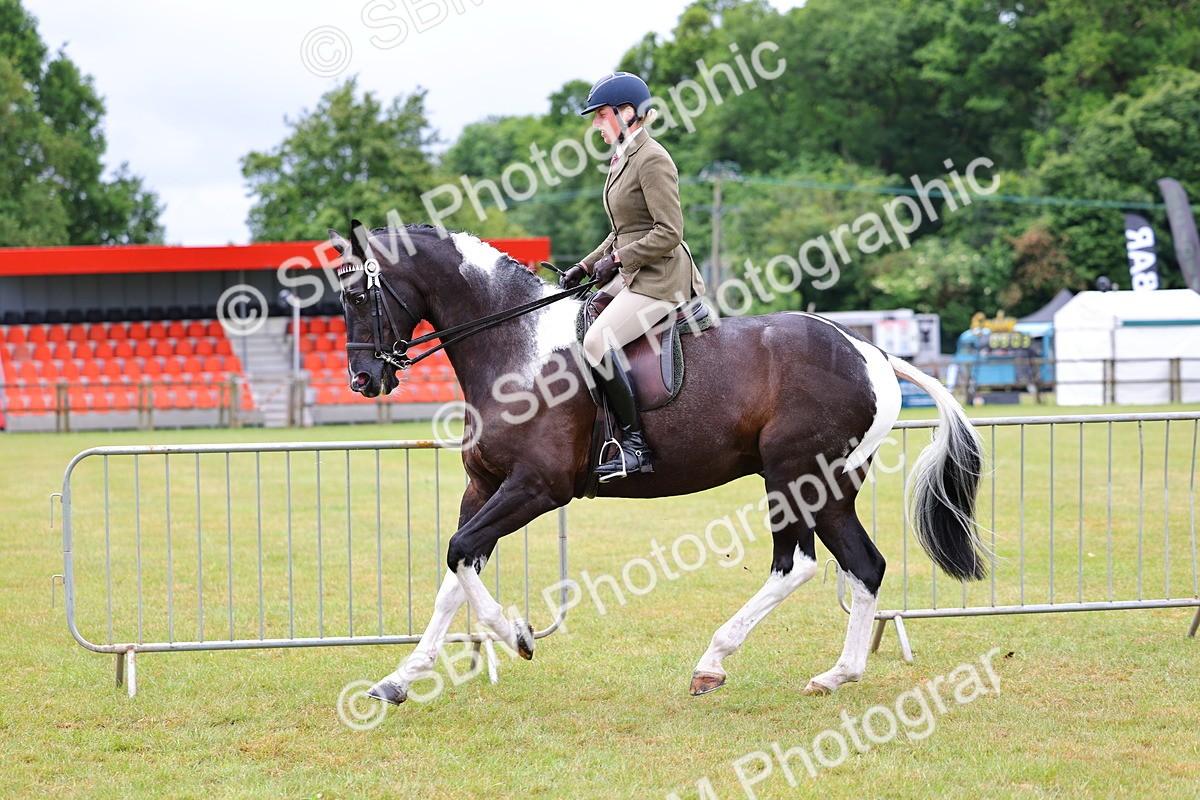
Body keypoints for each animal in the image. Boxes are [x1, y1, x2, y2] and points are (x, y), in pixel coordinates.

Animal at [328, 220, 987, 705]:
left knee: (795, 565)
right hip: (830, 488)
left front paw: (517, 635)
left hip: (792, 476)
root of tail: (869, 351)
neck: (517, 346)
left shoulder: (537, 487)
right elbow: (454, 574)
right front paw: (399, 679)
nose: (362, 380)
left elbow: (460, 551)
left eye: (357, 295)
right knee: (863, 565)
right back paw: (835, 675)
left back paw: (713, 663)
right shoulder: (483, 485)